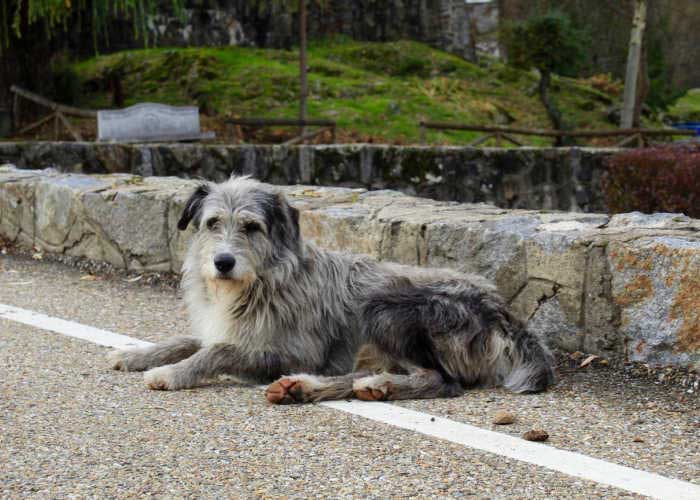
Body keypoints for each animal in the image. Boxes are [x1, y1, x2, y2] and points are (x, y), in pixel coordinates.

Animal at [108, 176, 556, 402]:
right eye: (212, 223)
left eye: (251, 227)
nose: (223, 263)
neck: (262, 282)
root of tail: (502, 311)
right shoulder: (223, 327)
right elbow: (190, 339)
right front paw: (136, 354)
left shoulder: (294, 351)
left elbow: (218, 351)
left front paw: (171, 373)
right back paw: (305, 387)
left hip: (386, 309)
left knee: (441, 381)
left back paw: (363, 386)